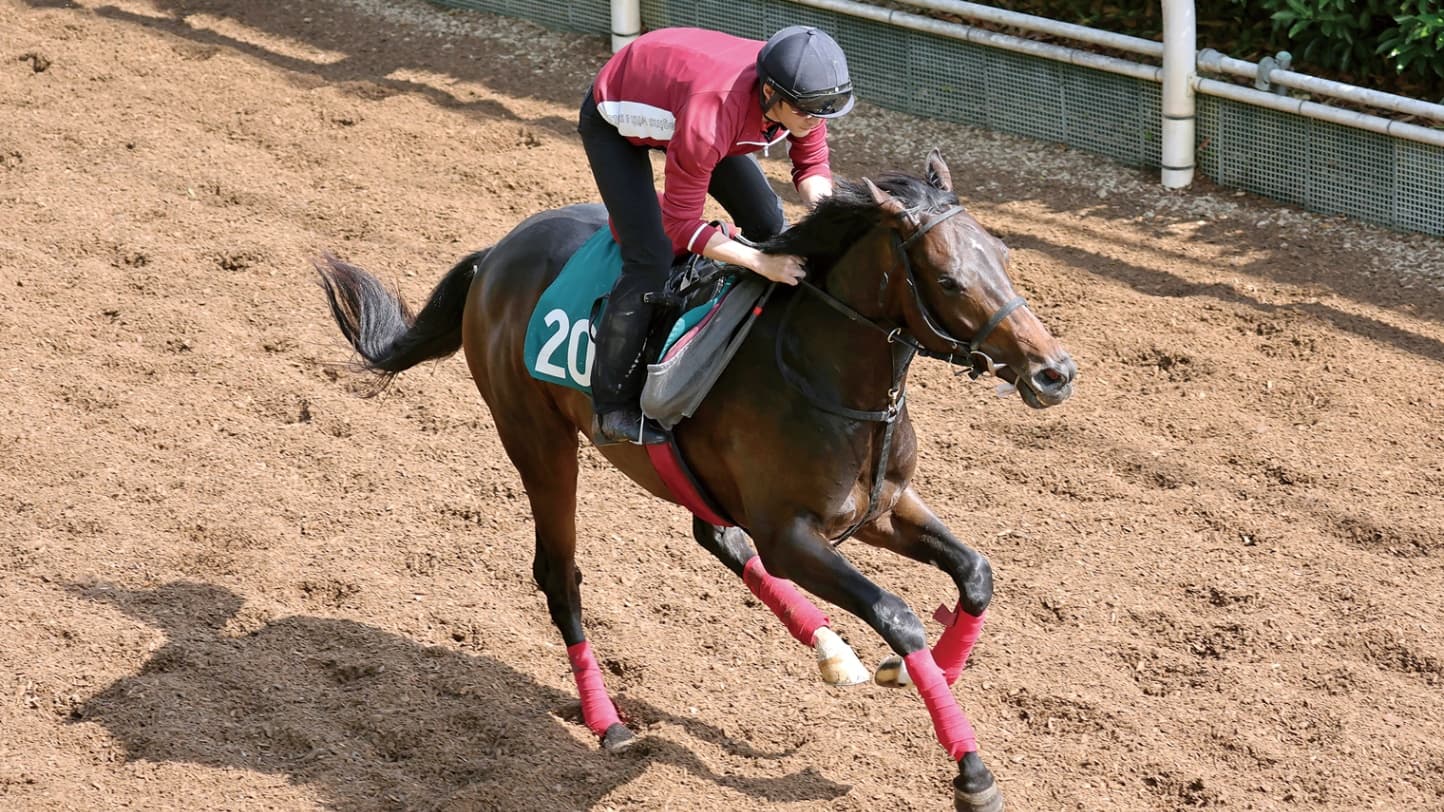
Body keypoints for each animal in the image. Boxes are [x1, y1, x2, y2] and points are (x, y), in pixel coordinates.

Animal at [312, 149, 1076, 811]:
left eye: (1004, 257)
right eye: (948, 279)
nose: (1054, 372)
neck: (824, 371)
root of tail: (494, 255)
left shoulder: (881, 507)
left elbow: (976, 572)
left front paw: (925, 669)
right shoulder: (790, 536)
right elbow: (899, 614)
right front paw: (971, 772)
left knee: (716, 537)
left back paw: (831, 651)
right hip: (538, 441)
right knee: (561, 574)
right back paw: (607, 720)